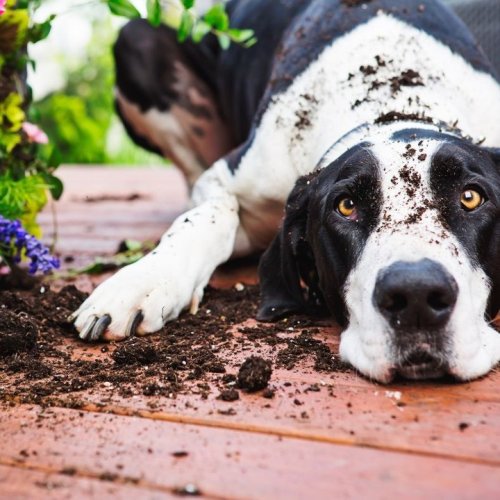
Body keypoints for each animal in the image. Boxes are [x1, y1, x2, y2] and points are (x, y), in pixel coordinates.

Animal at [71, 0, 500, 382]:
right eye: (346, 206)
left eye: (471, 197)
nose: (416, 296)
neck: (393, 102)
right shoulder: (227, 178)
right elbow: (205, 218)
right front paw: (142, 281)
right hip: (137, 40)